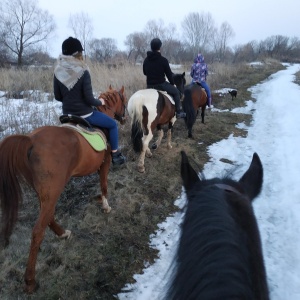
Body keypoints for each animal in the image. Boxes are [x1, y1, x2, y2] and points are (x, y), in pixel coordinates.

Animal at [0, 84, 126, 292]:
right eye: (123, 100)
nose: (123, 118)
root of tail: (30, 140)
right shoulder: (105, 162)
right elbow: (104, 184)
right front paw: (106, 205)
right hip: (53, 191)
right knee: (38, 231)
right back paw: (30, 280)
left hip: (45, 192)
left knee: (48, 217)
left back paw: (63, 233)